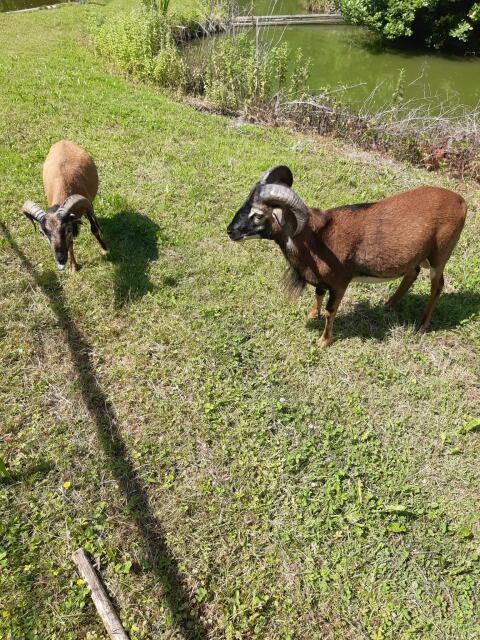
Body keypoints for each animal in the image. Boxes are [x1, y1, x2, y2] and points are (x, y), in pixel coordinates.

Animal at [23, 140, 108, 272]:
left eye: (67, 229)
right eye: (43, 233)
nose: (60, 259)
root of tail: (62, 141)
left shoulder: (88, 207)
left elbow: (94, 229)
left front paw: (104, 249)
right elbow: (70, 242)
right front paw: (73, 266)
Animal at [227, 166, 467, 347]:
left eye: (258, 215)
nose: (230, 231)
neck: (317, 238)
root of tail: (461, 203)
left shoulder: (340, 283)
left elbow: (330, 311)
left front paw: (324, 341)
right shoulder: (322, 282)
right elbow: (318, 295)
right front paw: (311, 315)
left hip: (439, 257)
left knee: (437, 286)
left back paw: (422, 325)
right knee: (412, 273)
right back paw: (389, 304)